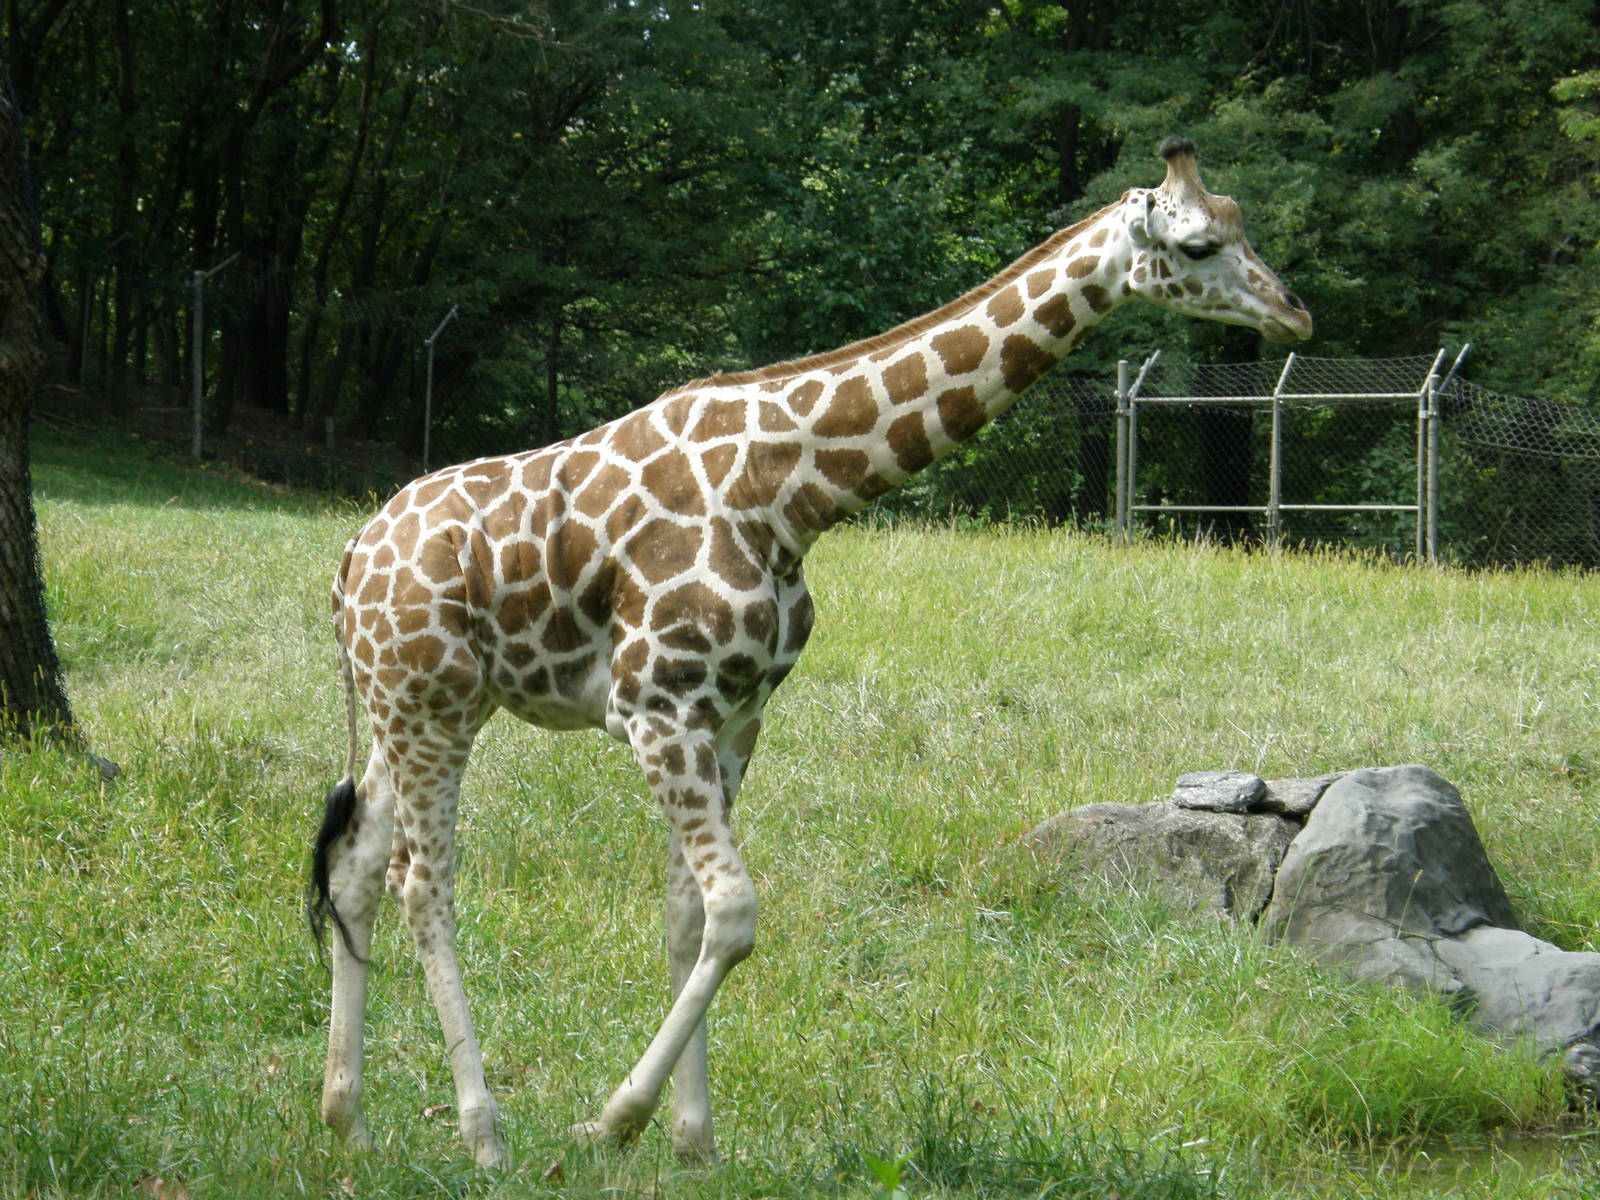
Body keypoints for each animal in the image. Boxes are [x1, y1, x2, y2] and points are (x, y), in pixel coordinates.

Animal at [307, 137, 1311, 1169]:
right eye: (1197, 245)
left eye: (1241, 222)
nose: (1294, 313)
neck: (791, 491)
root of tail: (347, 562)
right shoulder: (654, 703)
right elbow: (737, 914)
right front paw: (616, 1119)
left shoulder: (735, 714)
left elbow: (690, 920)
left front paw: (693, 1143)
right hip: (426, 706)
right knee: (422, 882)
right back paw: (484, 1136)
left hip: (419, 704)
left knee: (354, 864)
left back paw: (347, 1119)